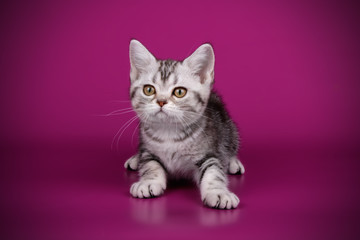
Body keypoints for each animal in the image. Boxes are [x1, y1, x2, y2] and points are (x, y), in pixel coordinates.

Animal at [124, 40, 245, 209]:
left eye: (179, 92)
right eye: (149, 90)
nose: (161, 101)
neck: (169, 132)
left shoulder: (207, 153)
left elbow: (213, 172)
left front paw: (219, 193)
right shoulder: (149, 151)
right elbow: (150, 164)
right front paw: (148, 182)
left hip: (229, 128)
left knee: (230, 145)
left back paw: (233, 162)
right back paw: (135, 159)